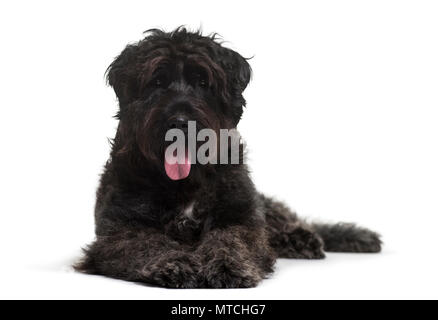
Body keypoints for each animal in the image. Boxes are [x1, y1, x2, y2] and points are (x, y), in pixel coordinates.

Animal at [74, 26, 380, 288]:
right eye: (157, 81)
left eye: (202, 81)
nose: (180, 121)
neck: (186, 184)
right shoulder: (120, 230)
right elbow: (149, 244)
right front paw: (175, 263)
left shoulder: (241, 219)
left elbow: (230, 240)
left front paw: (227, 266)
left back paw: (304, 237)